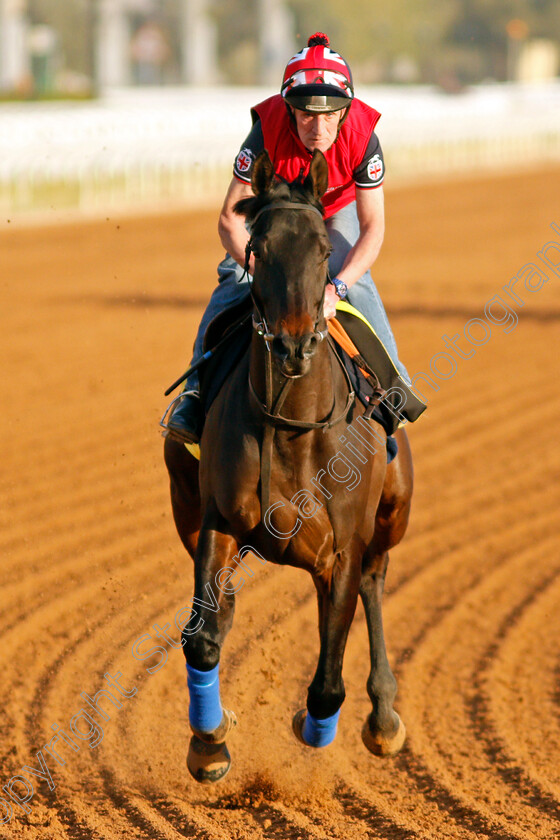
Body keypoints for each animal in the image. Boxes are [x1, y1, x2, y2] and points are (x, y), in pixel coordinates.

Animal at [164, 148, 414, 784]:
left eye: (324, 249)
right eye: (258, 246)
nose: (295, 345)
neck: (293, 426)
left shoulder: (344, 548)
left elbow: (327, 684)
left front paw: (311, 725)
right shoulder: (219, 522)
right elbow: (201, 640)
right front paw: (210, 744)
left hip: (392, 514)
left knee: (373, 583)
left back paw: (384, 718)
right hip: (184, 502)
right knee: (216, 615)